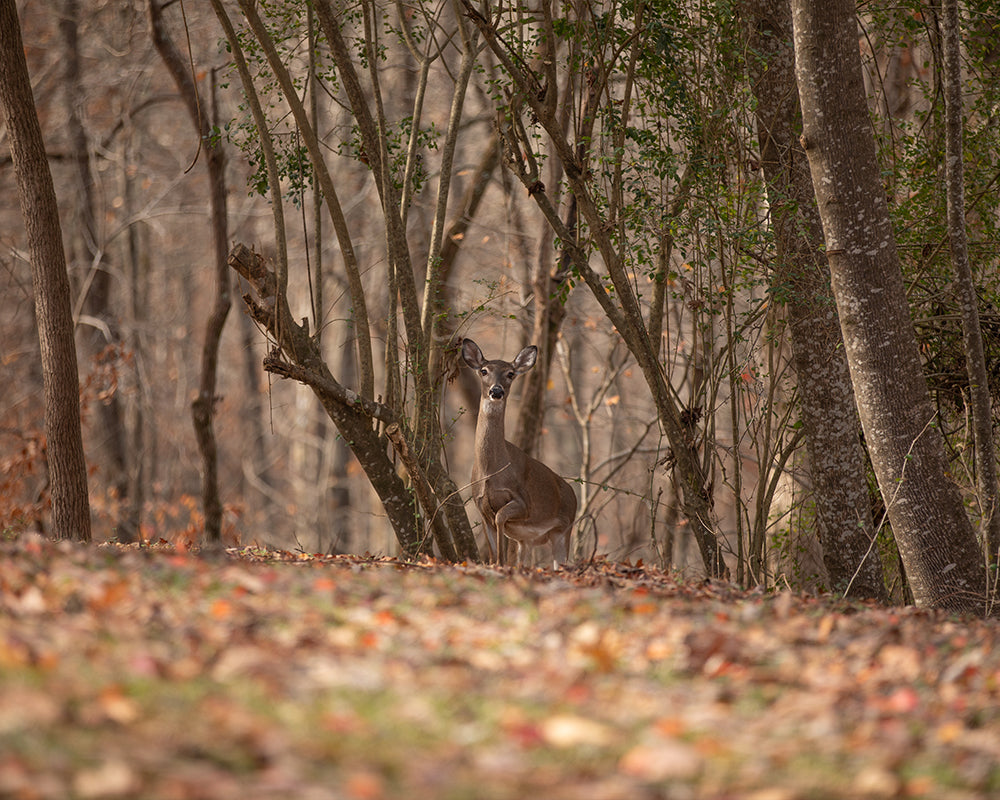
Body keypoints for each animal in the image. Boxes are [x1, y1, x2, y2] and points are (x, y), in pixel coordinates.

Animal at [461, 338, 577, 567]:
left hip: (564, 529)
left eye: (510, 373)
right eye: (484, 371)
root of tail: (574, 495)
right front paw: (496, 563)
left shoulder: (524, 502)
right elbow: (492, 543)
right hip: (529, 540)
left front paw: (500, 561)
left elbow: (500, 518)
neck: (491, 471)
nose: (496, 391)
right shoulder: (481, 506)